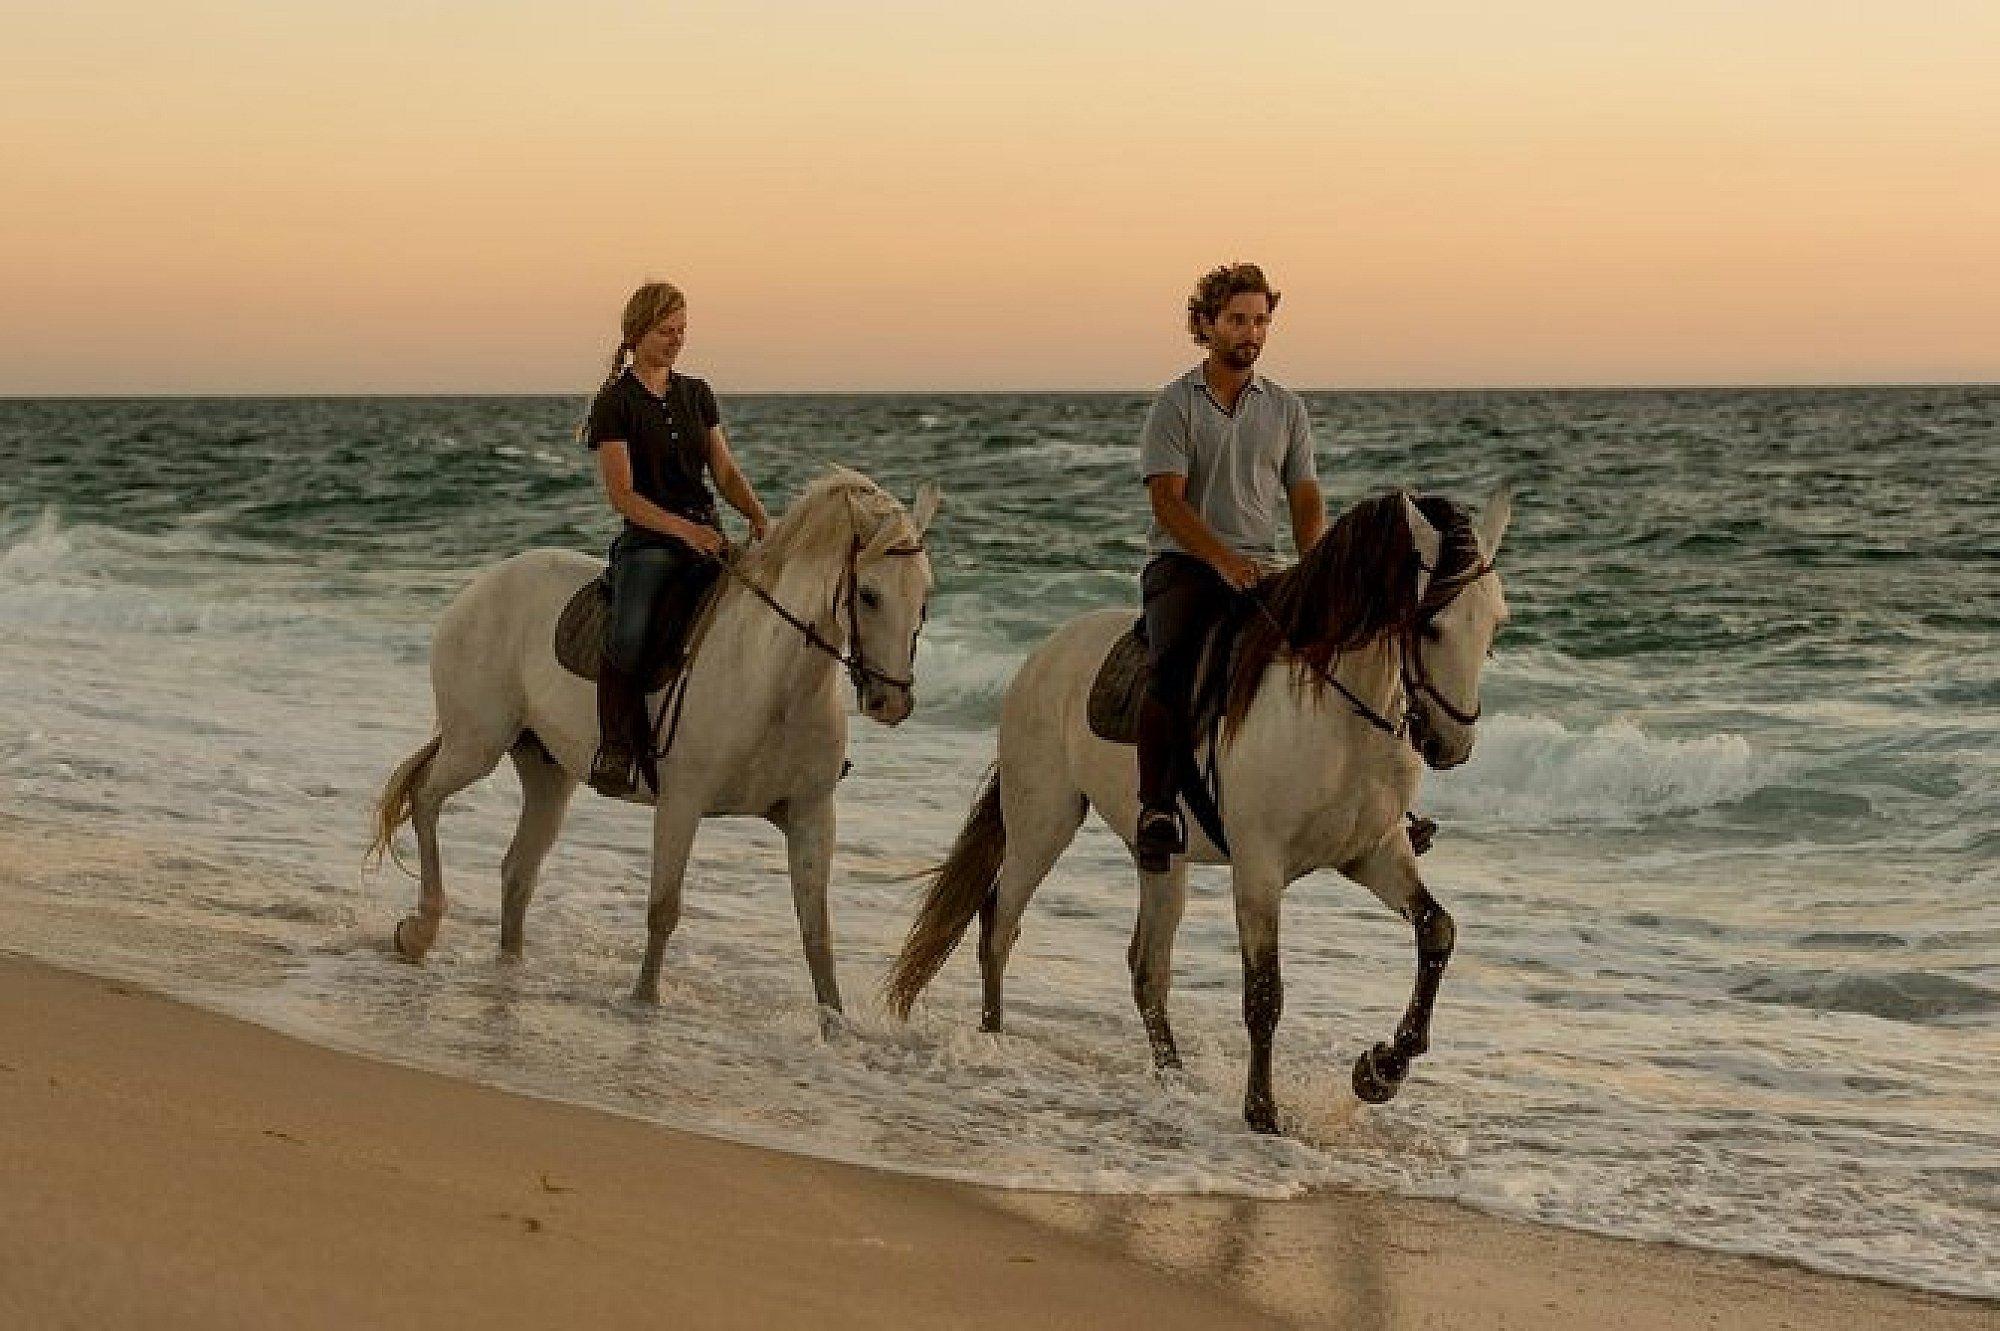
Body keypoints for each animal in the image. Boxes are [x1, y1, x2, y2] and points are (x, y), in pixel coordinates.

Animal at [368, 466, 940, 1012]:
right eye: (868, 595)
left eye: (925, 595)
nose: (892, 704)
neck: (775, 682)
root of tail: (480, 586)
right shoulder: (681, 804)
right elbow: (664, 908)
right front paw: (644, 1002)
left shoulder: (810, 813)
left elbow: (817, 932)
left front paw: (834, 1025)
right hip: (476, 746)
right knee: (425, 798)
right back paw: (420, 931)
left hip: (546, 772)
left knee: (517, 870)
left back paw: (508, 966)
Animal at [885, 487, 1509, 1133]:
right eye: (1431, 625)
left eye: (1496, 625)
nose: (1450, 745)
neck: (1340, 718)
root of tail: (1041, 657)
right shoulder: (1259, 866)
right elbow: (1264, 991)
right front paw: (1262, 1112)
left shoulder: (1373, 853)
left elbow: (1437, 931)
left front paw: (1381, 1071)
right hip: (1043, 821)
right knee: (1000, 922)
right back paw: (994, 1039)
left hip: (1159, 856)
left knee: (1146, 965)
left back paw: (1172, 1077)